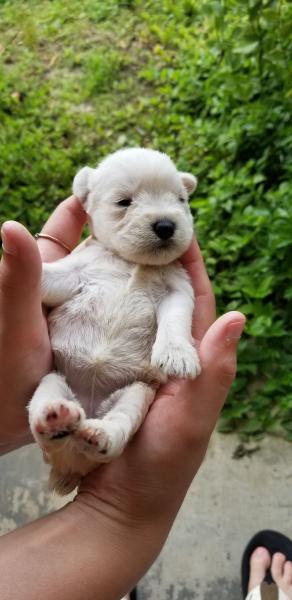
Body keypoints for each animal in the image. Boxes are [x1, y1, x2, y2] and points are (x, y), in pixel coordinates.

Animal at [28, 148, 201, 494]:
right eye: (124, 202)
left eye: (180, 200)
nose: (166, 224)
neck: (131, 261)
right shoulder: (77, 272)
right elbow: (49, 276)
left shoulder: (177, 287)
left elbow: (175, 318)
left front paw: (177, 354)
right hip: (53, 378)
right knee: (44, 420)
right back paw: (56, 418)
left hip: (136, 393)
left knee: (118, 425)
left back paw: (96, 433)